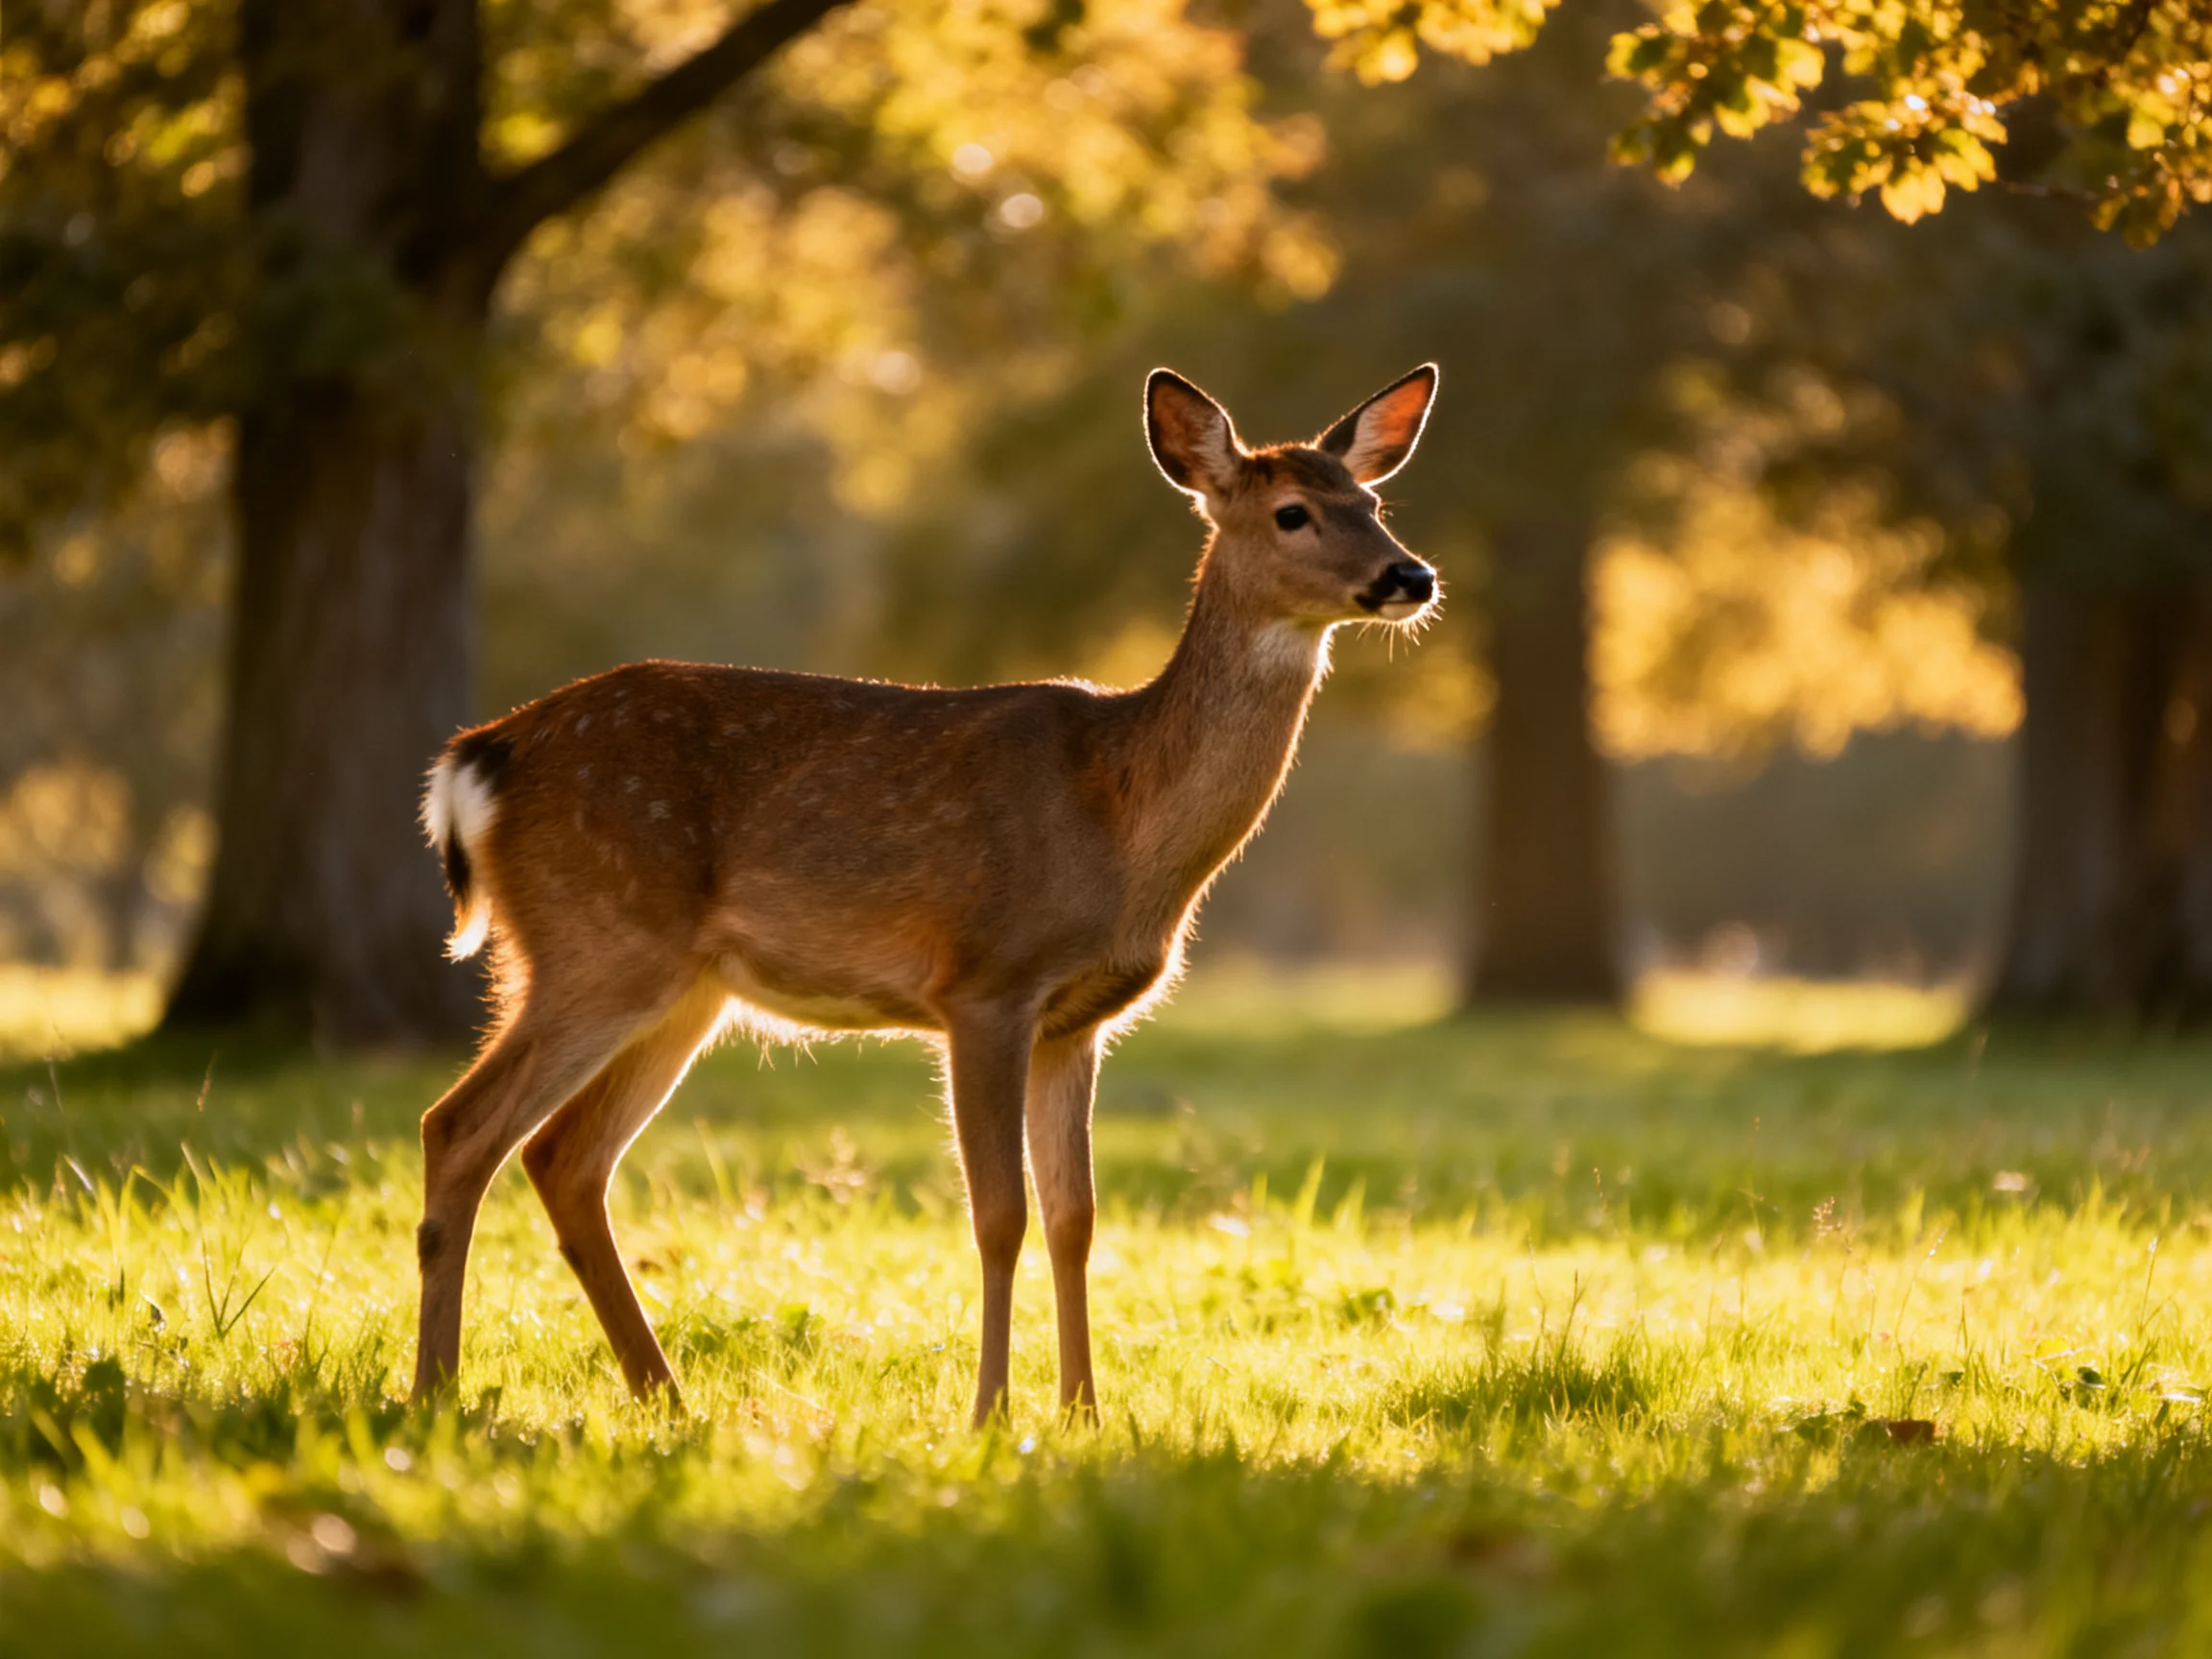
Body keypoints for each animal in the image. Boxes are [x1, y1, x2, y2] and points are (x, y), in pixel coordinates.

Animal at [412, 363, 1440, 1425]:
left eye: (1373, 503)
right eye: (1291, 513)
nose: (1411, 578)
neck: (1118, 817)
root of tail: (478, 758)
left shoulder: (1078, 1021)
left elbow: (1075, 1216)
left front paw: (1083, 1413)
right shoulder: (984, 983)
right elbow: (999, 1213)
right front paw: (992, 1413)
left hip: (679, 987)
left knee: (562, 1157)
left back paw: (666, 1400)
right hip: (597, 939)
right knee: (459, 1127)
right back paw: (437, 1395)